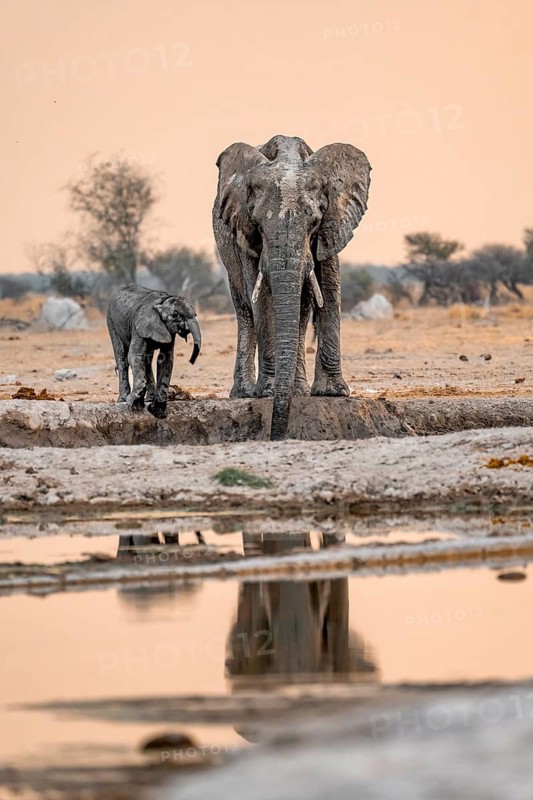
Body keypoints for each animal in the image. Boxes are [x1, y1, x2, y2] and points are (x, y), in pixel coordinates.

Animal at [106, 284, 201, 418]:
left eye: (195, 314)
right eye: (175, 315)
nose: (191, 361)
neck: (163, 301)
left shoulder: (168, 330)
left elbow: (165, 359)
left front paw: (157, 411)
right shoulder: (138, 325)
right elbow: (135, 355)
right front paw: (134, 406)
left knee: (147, 360)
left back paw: (148, 399)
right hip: (111, 321)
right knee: (122, 357)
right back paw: (122, 400)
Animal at [213, 134, 371, 440]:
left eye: (314, 222)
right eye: (258, 223)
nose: (277, 435)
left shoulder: (334, 222)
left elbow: (329, 289)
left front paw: (332, 394)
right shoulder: (243, 229)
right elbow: (262, 300)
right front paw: (268, 392)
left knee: (302, 308)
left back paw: (297, 389)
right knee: (244, 309)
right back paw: (245, 393)